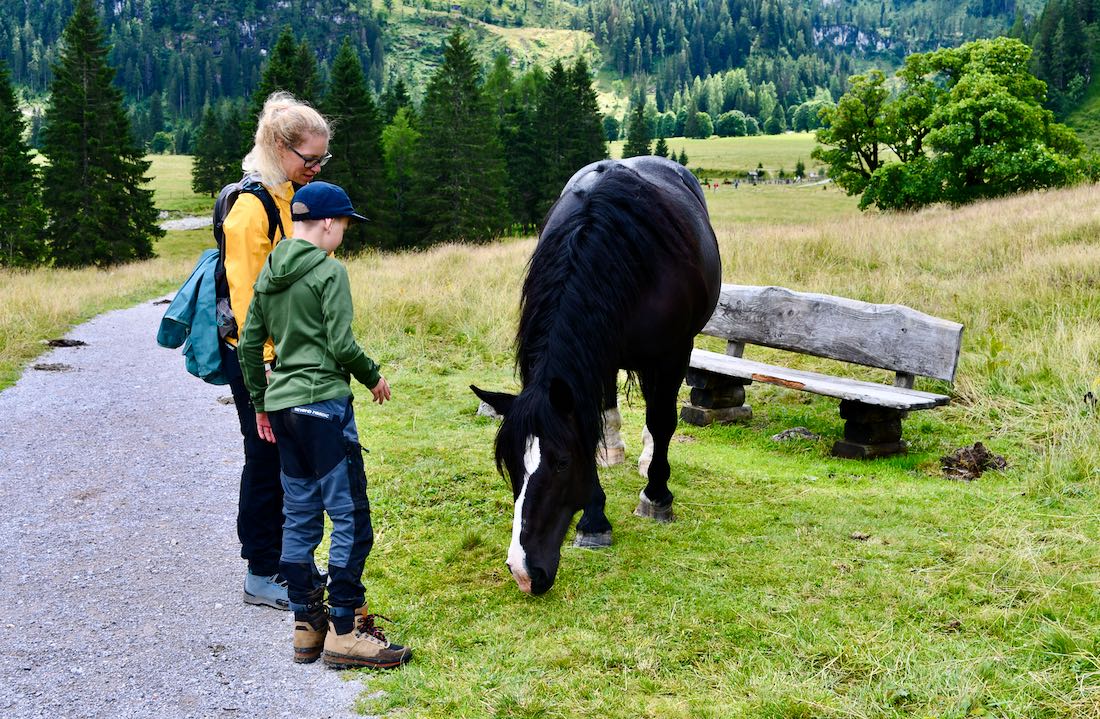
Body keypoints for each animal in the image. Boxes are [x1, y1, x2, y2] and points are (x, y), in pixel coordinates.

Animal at [472, 156, 722, 595]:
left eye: (561, 463)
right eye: (511, 465)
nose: (523, 572)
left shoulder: (673, 354)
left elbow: (662, 422)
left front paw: (657, 496)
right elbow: (594, 425)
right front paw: (593, 519)